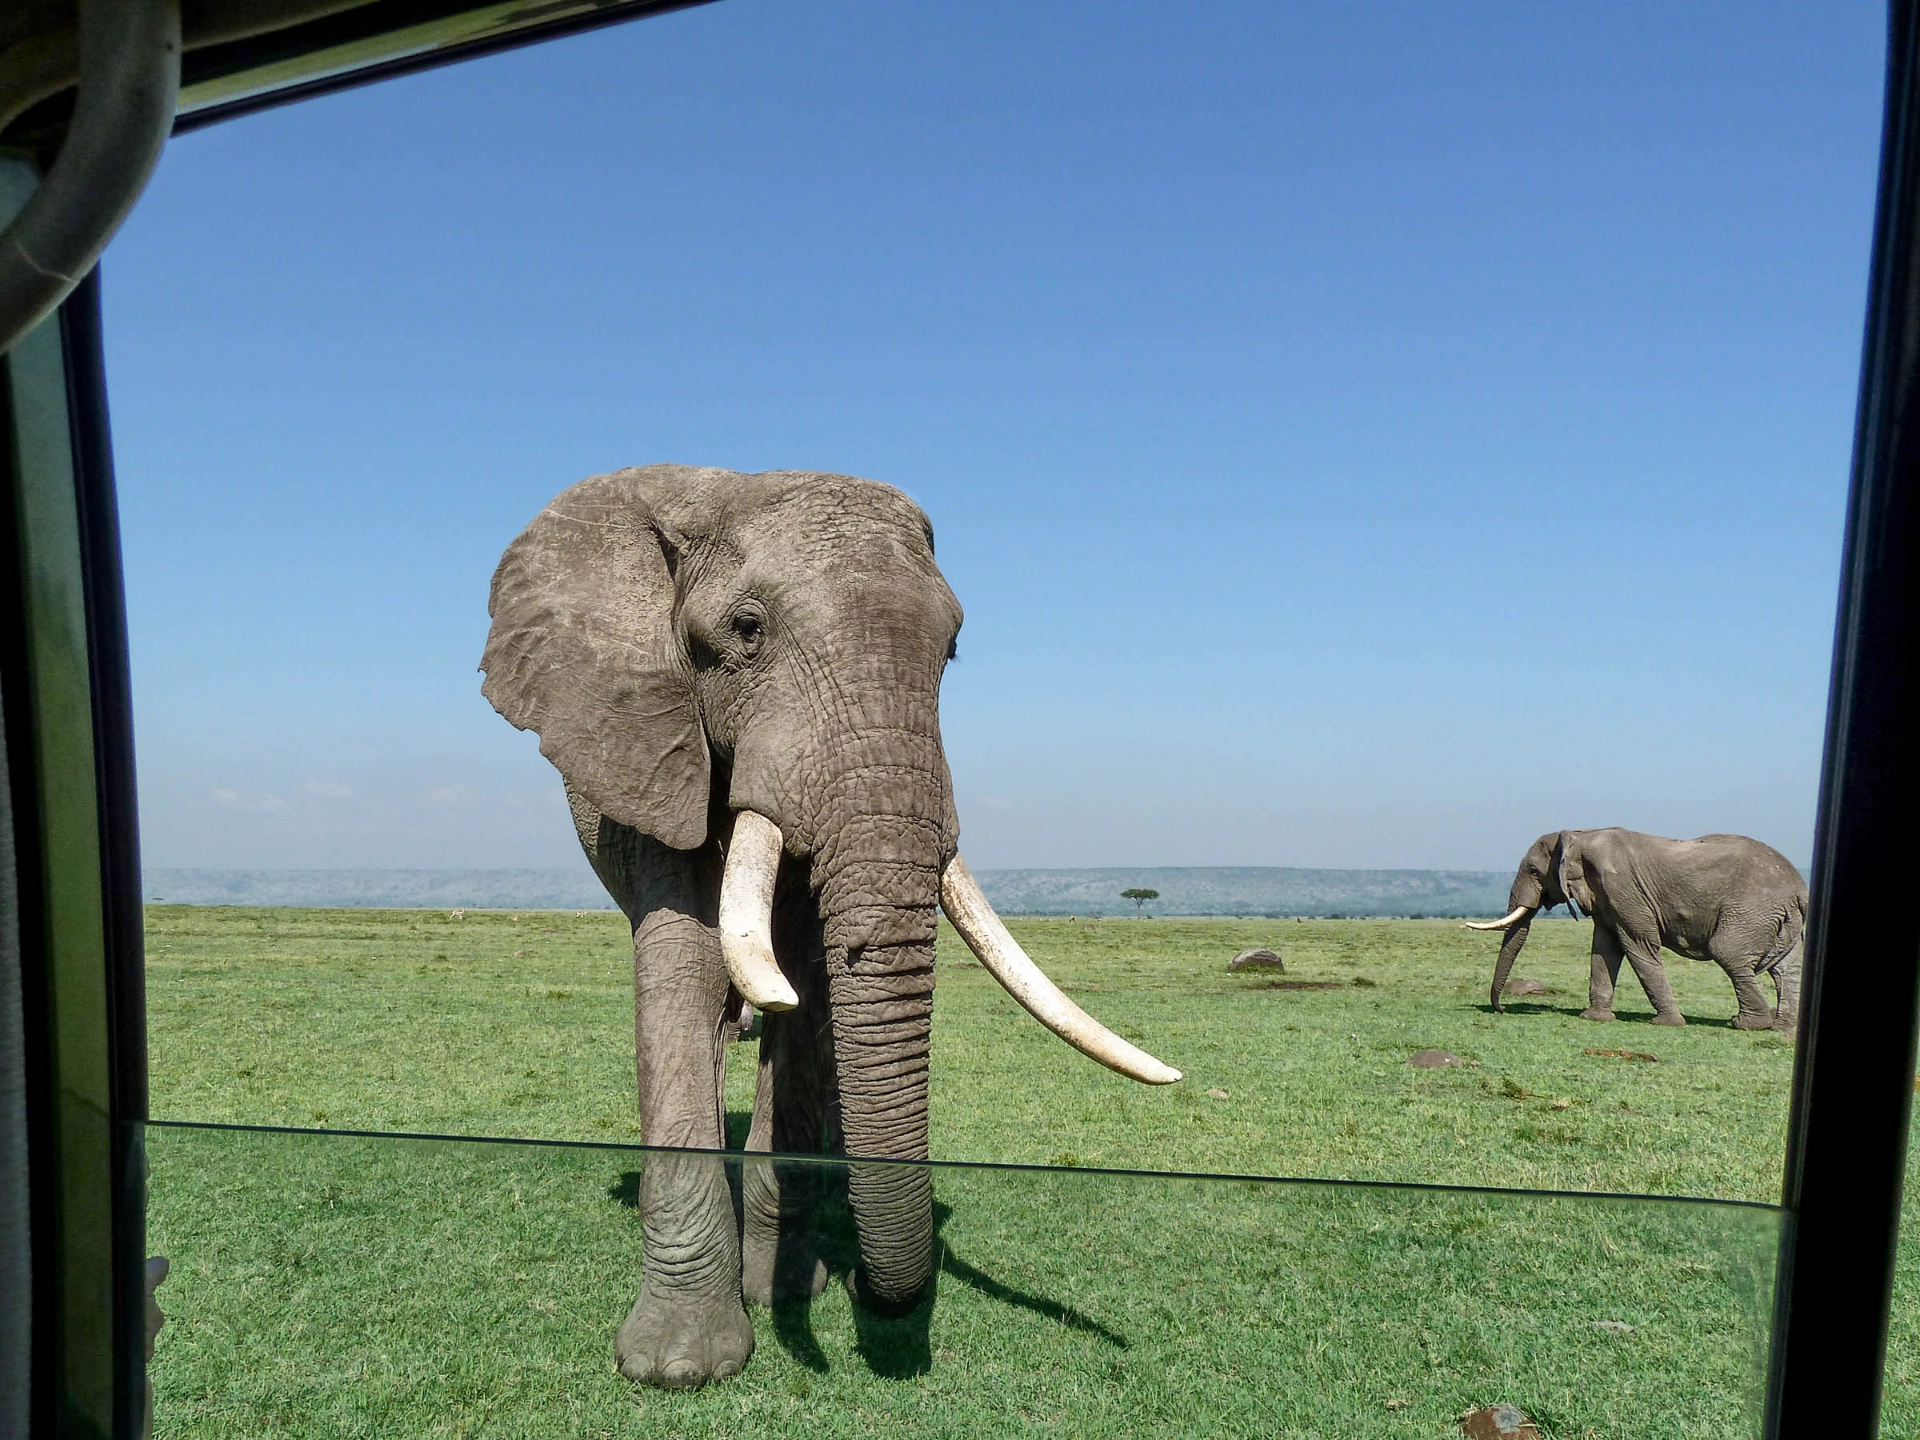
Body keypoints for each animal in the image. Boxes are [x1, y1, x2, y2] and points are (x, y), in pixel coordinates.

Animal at [476, 468, 1182, 1390]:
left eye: (952, 650)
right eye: (746, 630)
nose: (876, 1295)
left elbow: (809, 987)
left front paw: (786, 1290)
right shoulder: (651, 742)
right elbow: (684, 965)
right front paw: (677, 1367)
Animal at [1459, 829, 1804, 1029]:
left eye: (1533, 870)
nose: (1502, 1009)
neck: (1579, 835)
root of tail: (1801, 888)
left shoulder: (1624, 889)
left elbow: (1639, 947)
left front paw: (1667, 1024)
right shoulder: (1604, 897)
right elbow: (1604, 950)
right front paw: (1595, 1019)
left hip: (1752, 911)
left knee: (1729, 954)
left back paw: (1746, 1024)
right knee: (1786, 969)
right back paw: (1782, 1028)